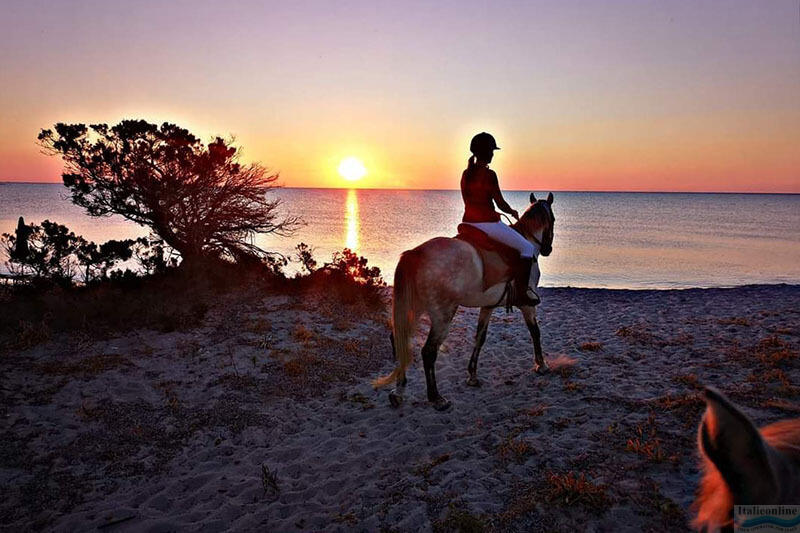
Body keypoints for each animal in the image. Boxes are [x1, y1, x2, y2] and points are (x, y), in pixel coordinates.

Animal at [372, 193, 552, 410]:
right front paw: (541, 365)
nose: (548, 249)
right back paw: (436, 398)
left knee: (401, 341)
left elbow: (480, 338)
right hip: (443, 315)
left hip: (414, 309)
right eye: (552, 220)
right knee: (428, 351)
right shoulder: (527, 305)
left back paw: (398, 393)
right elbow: (535, 332)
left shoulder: (488, 306)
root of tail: (415, 254)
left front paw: (472, 375)